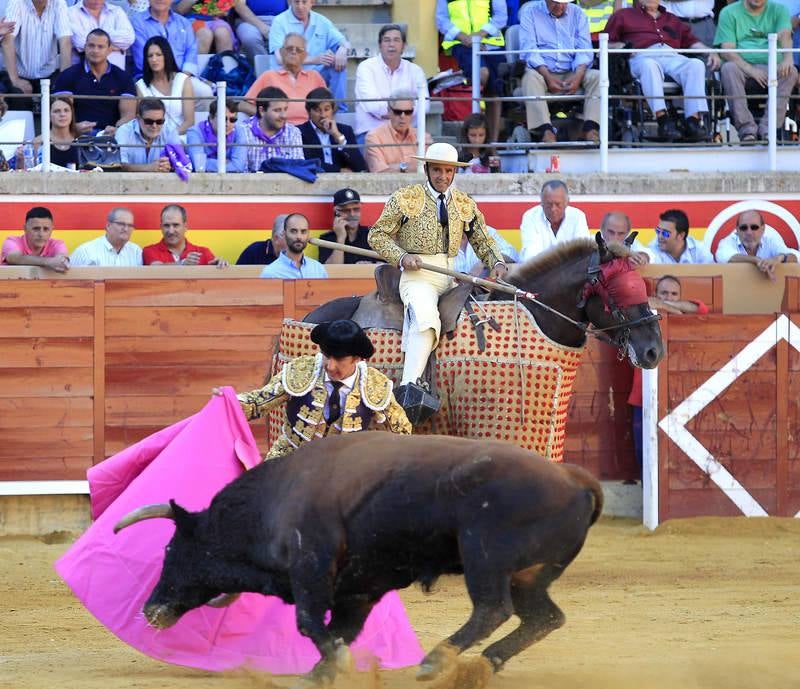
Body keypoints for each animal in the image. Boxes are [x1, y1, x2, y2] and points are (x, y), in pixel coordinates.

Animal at [115, 430, 604, 684]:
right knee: (544, 617)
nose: (150, 610)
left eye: (171, 548)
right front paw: (321, 671)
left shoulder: (311, 565)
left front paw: (334, 665)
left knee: (492, 608)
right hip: (529, 574)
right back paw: (487, 663)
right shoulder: (360, 589)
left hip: (485, 556)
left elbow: (310, 622)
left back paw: (436, 661)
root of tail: (574, 478)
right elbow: (341, 630)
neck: (272, 501)